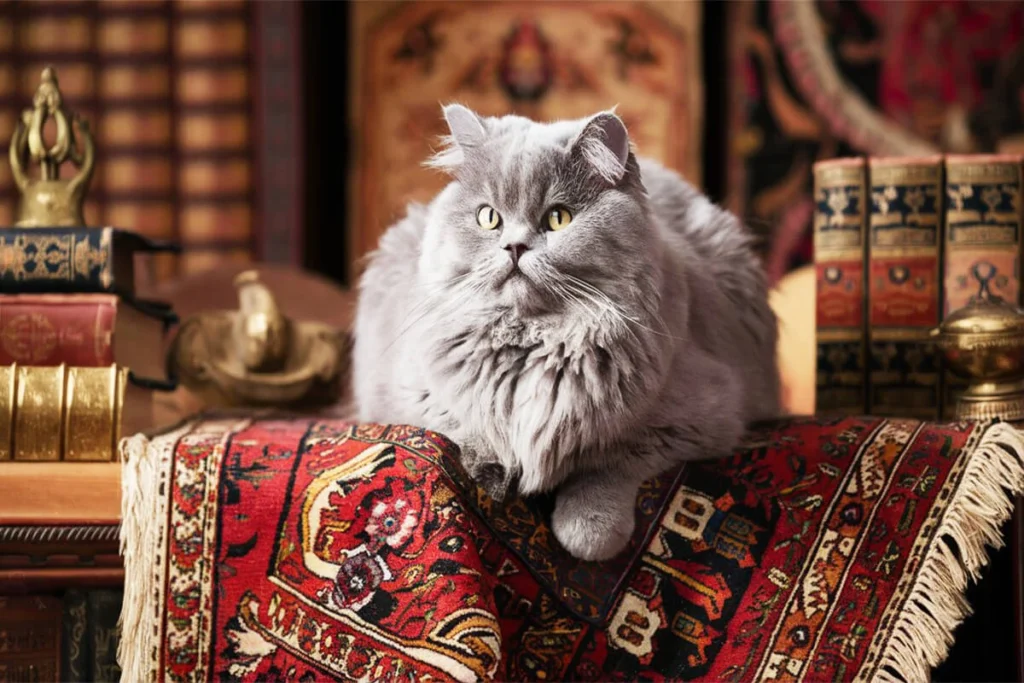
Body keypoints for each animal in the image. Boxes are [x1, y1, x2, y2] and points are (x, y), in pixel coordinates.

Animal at [354, 105, 782, 561]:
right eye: (489, 217)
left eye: (558, 219)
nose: (514, 247)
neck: (535, 342)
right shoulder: (409, 394)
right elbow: (470, 427)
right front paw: (495, 474)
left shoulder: (694, 419)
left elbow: (606, 466)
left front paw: (587, 533)